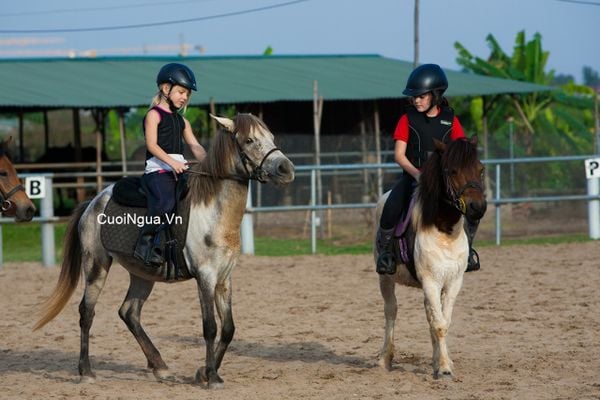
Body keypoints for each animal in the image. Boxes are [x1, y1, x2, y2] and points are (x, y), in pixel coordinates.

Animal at [33, 114, 296, 390]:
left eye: (271, 138)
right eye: (249, 140)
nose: (285, 169)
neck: (214, 212)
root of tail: (93, 202)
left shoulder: (224, 278)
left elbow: (228, 328)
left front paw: (204, 372)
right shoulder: (205, 277)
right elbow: (210, 327)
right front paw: (211, 377)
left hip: (142, 275)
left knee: (129, 312)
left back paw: (160, 367)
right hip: (96, 265)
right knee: (87, 312)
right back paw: (86, 371)